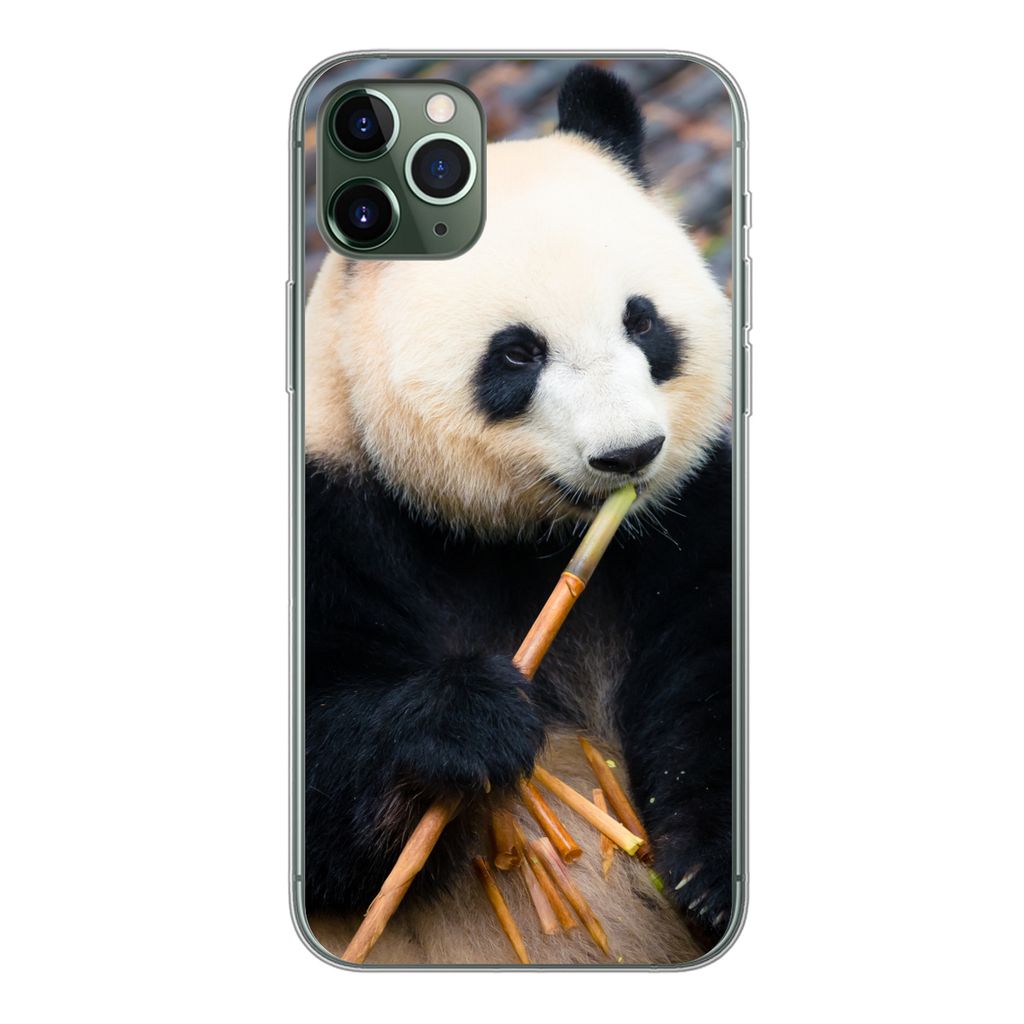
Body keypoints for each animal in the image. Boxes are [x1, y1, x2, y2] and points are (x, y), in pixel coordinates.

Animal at [301, 65, 734, 965]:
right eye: (517, 353)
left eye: (642, 320)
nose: (628, 455)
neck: (522, 541)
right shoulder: (332, 509)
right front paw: (469, 720)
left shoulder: (689, 513)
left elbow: (710, 662)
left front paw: (710, 873)